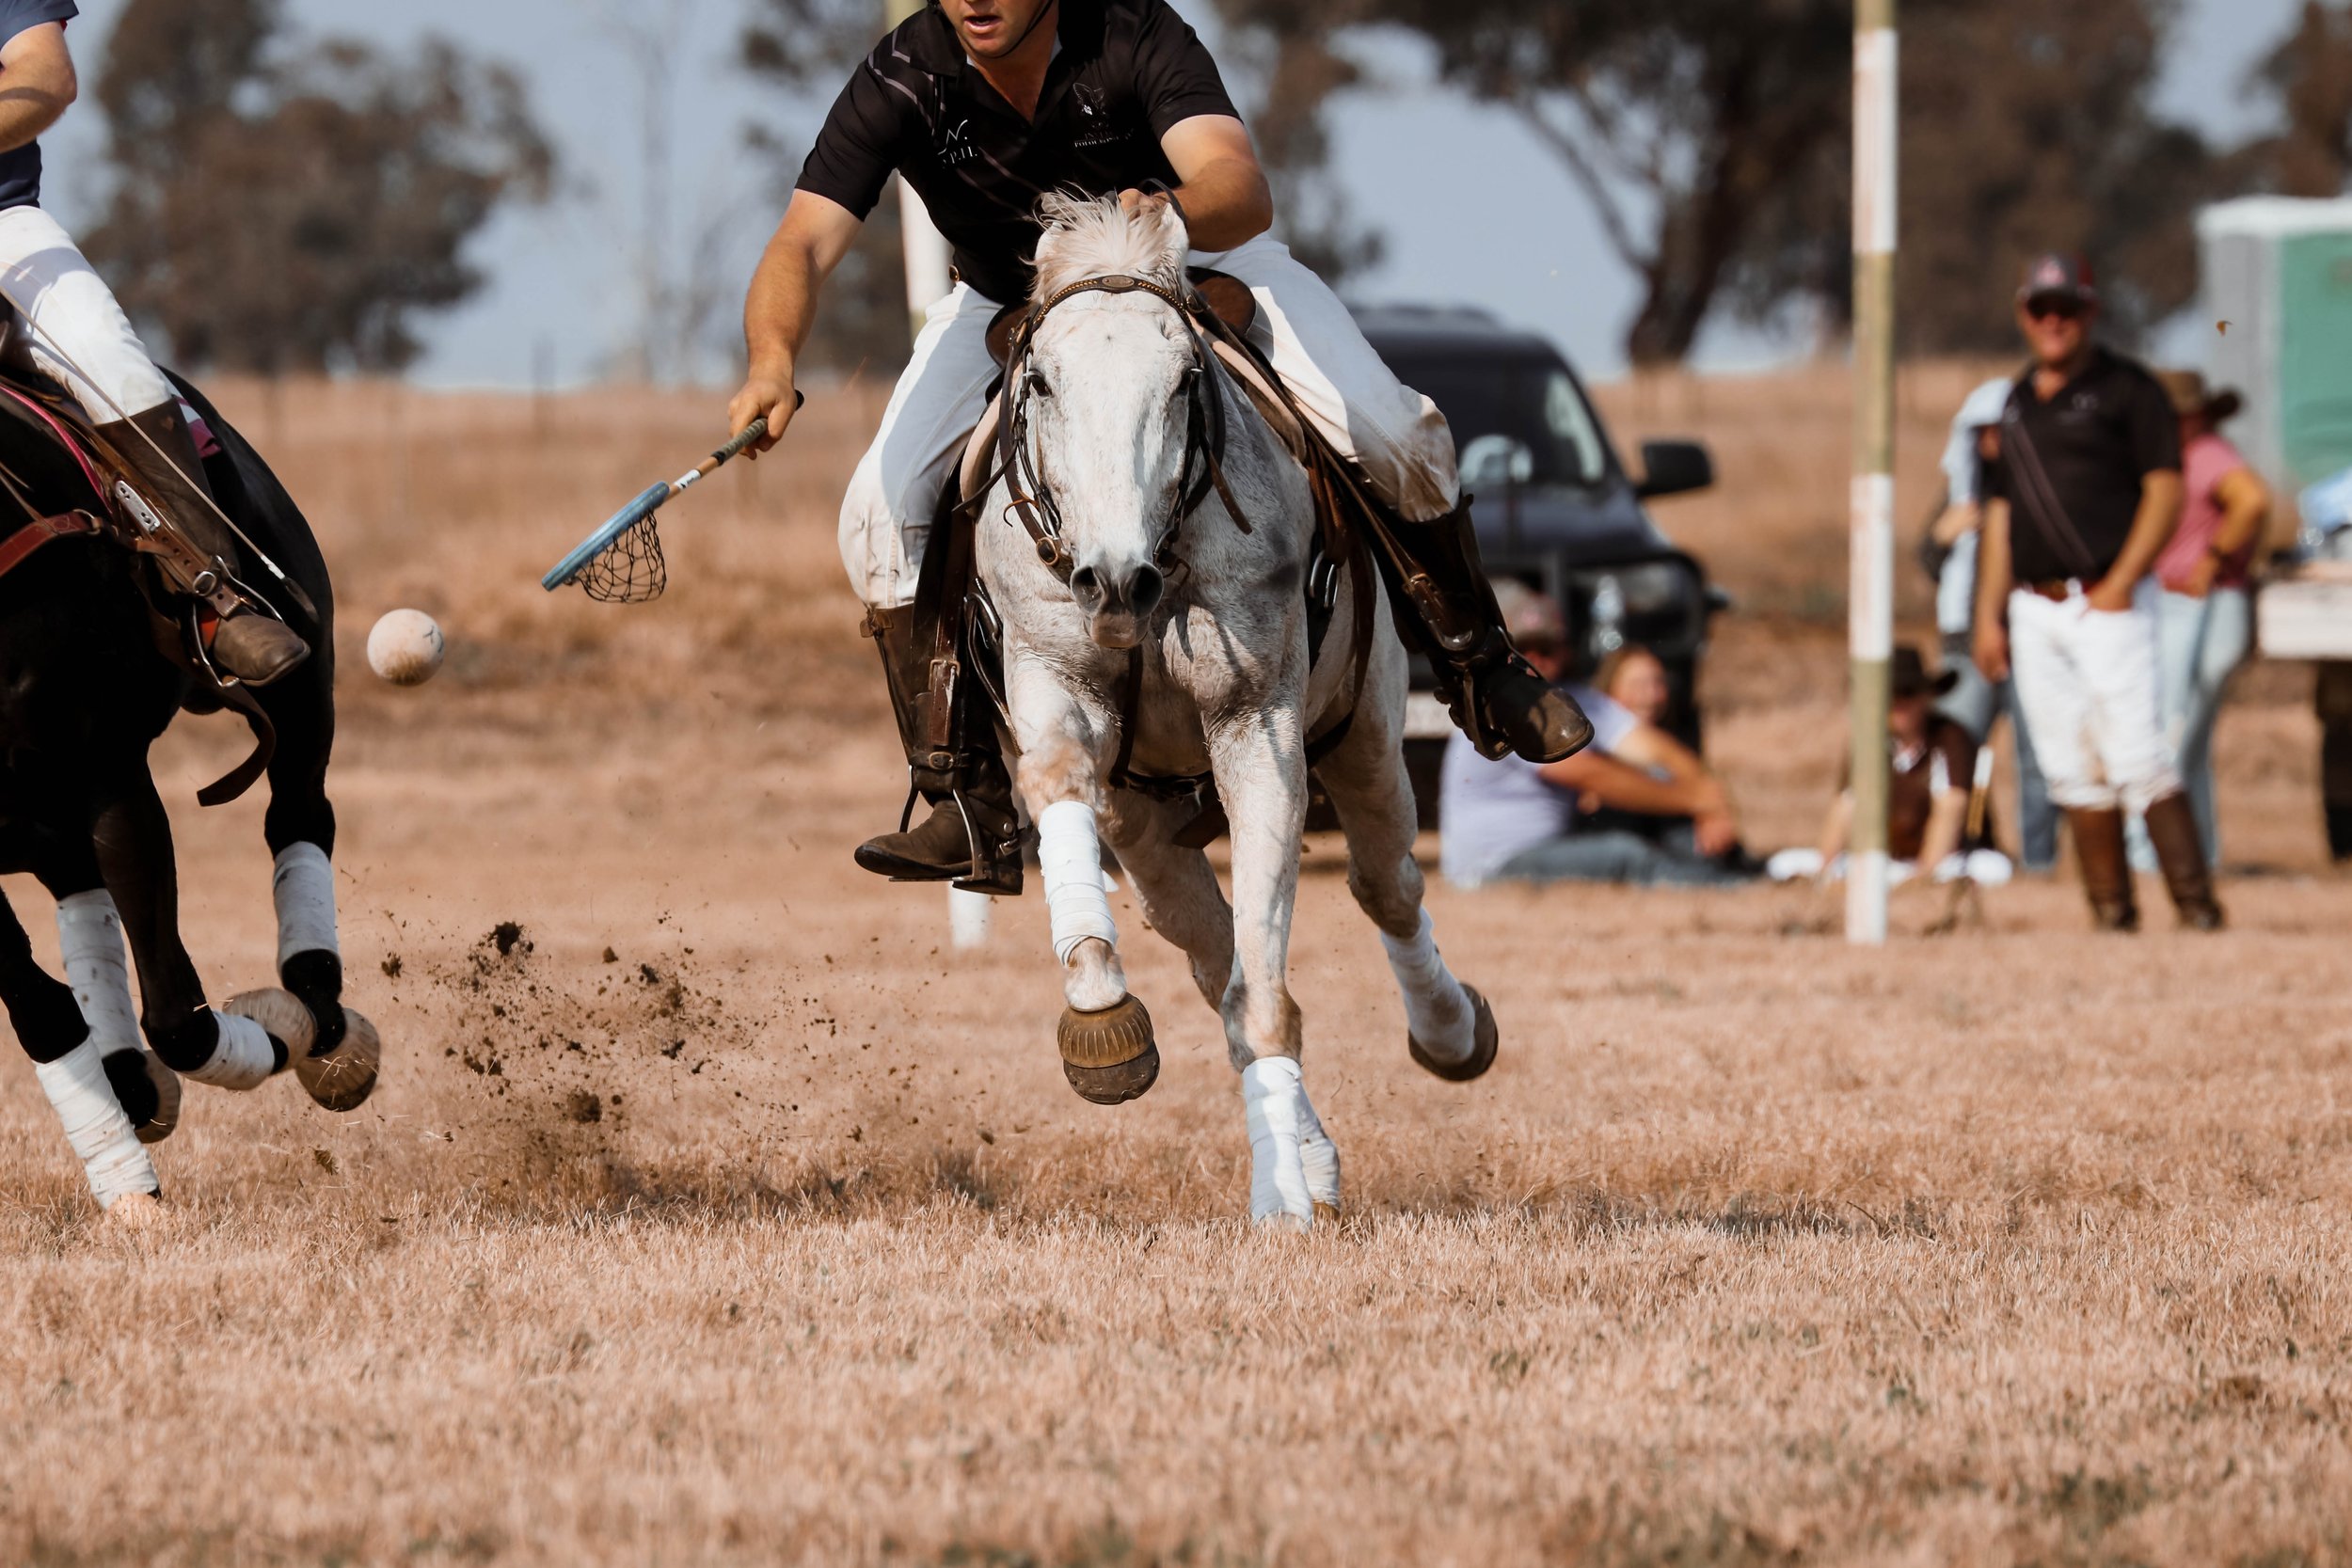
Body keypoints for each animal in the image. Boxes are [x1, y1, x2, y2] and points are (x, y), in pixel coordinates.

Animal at [0, 367, 378, 1218]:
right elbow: (44, 1011)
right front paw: (128, 1183)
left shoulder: (108, 769)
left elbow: (178, 1017)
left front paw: (277, 1034)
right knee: (77, 893)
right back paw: (129, 1083)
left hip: (302, 682)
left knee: (299, 814)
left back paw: (319, 1009)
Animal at [972, 195, 1497, 1228]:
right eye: (1041, 381)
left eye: (1184, 380)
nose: (1112, 580)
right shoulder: (1057, 687)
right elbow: (1058, 784)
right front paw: (1100, 1014)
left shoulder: (1259, 728)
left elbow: (1268, 996)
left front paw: (1281, 1199)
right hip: (1146, 825)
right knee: (1213, 953)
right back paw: (1313, 1150)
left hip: (1369, 737)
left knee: (1384, 886)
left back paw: (1449, 1034)